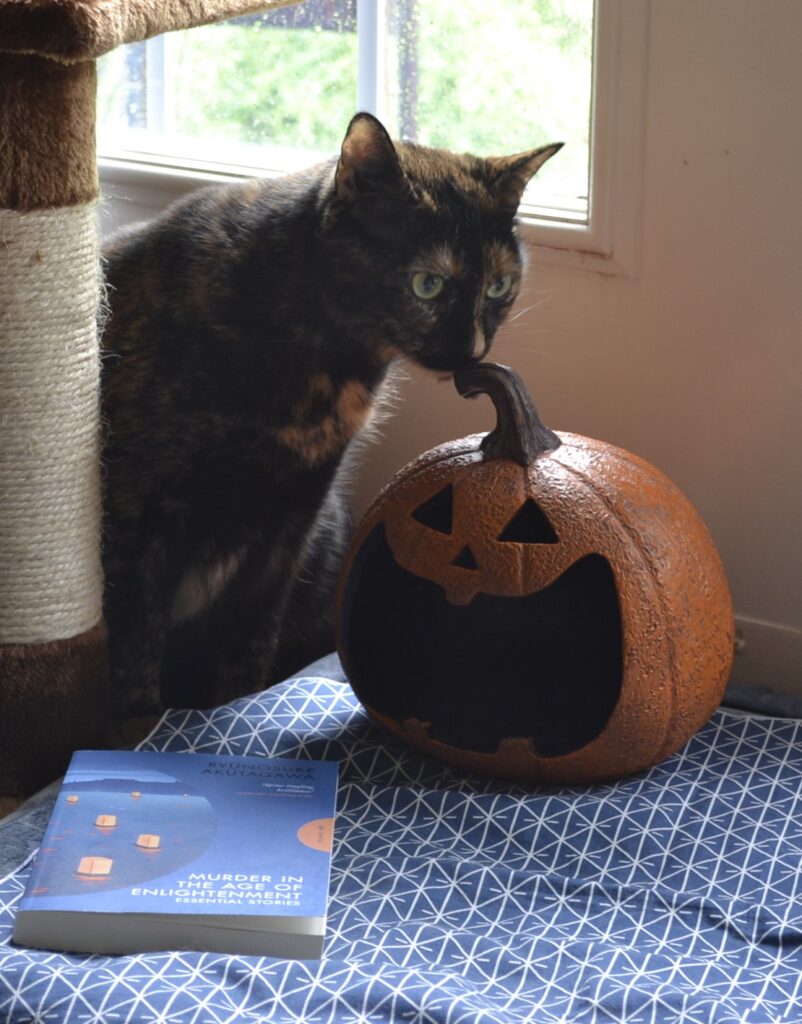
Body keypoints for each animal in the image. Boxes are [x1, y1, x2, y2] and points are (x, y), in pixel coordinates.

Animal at [100, 112, 561, 716]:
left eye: (499, 287)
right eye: (428, 284)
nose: (471, 352)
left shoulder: (294, 514)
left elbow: (249, 637)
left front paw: (233, 709)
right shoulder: (140, 512)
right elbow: (134, 652)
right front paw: (140, 729)